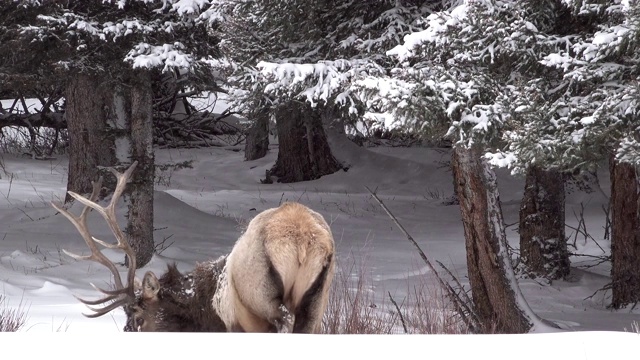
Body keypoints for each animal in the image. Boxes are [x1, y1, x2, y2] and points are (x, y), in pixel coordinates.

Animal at [51, 162, 336, 334]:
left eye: (138, 317)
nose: (127, 332)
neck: (203, 314)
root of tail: (301, 240)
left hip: (260, 298)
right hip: (316, 301)